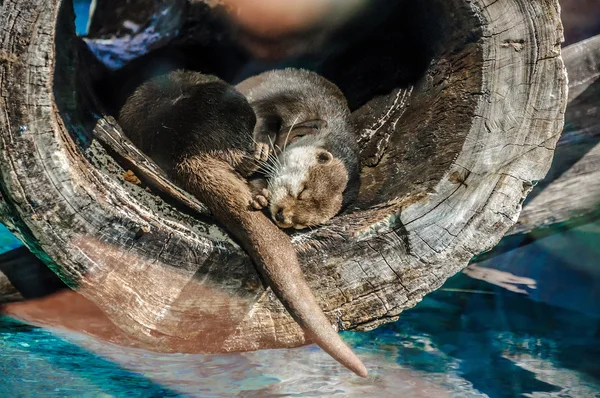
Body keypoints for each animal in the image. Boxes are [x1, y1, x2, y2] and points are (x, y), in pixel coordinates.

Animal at [234, 68, 358, 229]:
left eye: (301, 224)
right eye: (302, 191)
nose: (281, 216)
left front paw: (260, 196)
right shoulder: (288, 100)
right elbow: (260, 111)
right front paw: (262, 146)